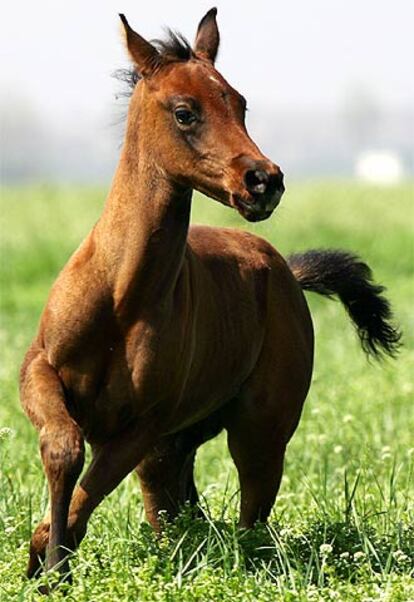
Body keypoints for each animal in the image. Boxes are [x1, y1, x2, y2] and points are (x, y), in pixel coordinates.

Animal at [21, 7, 400, 584]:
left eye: (239, 103)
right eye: (185, 112)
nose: (263, 181)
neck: (120, 296)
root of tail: (287, 271)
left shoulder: (144, 424)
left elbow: (88, 488)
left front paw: (51, 558)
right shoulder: (40, 371)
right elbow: (63, 449)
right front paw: (46, 564)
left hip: (257, 431)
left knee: (250, 513)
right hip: (175, 449)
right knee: (177, 509)